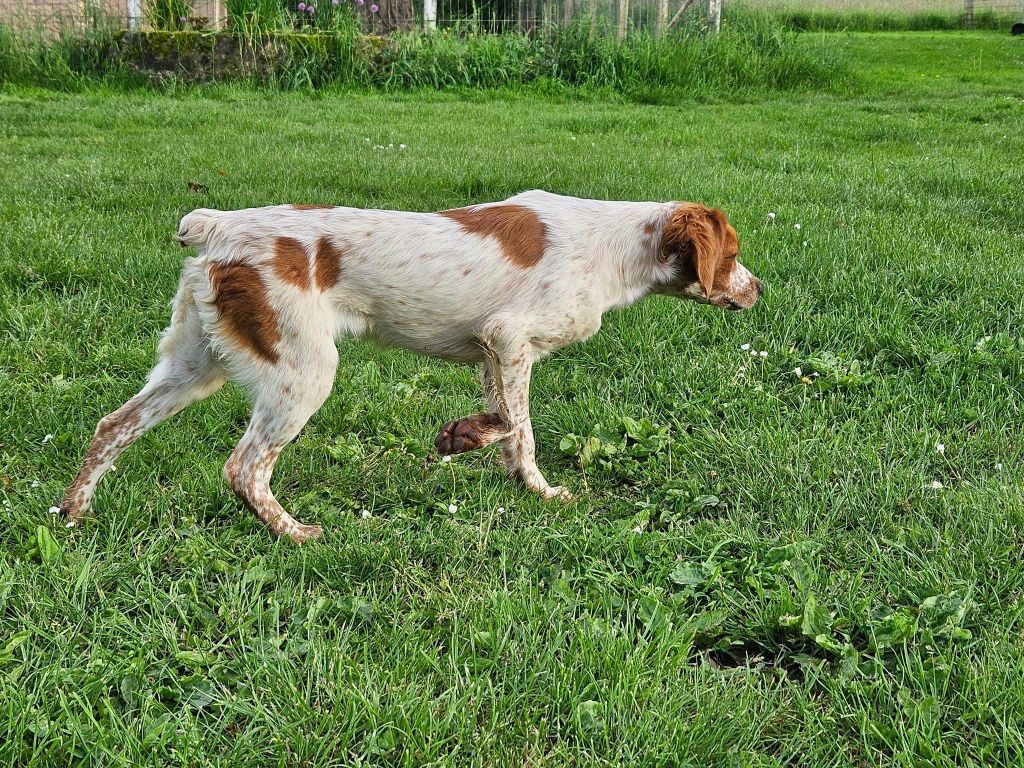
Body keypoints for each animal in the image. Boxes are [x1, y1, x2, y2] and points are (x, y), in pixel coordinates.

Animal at [56, 191, 761, 540]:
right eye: (732, 255)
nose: (758, 288)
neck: (617, 246)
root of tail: (219, 226)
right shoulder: (509, 336)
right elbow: (521, 428)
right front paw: (518, 473)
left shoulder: (493, 352)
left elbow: (509, 425)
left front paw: (491, 457)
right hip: (304, 371)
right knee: (244, 466)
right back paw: (295, 533)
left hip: (195, 366)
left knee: (112, 426)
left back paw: (75, 513)